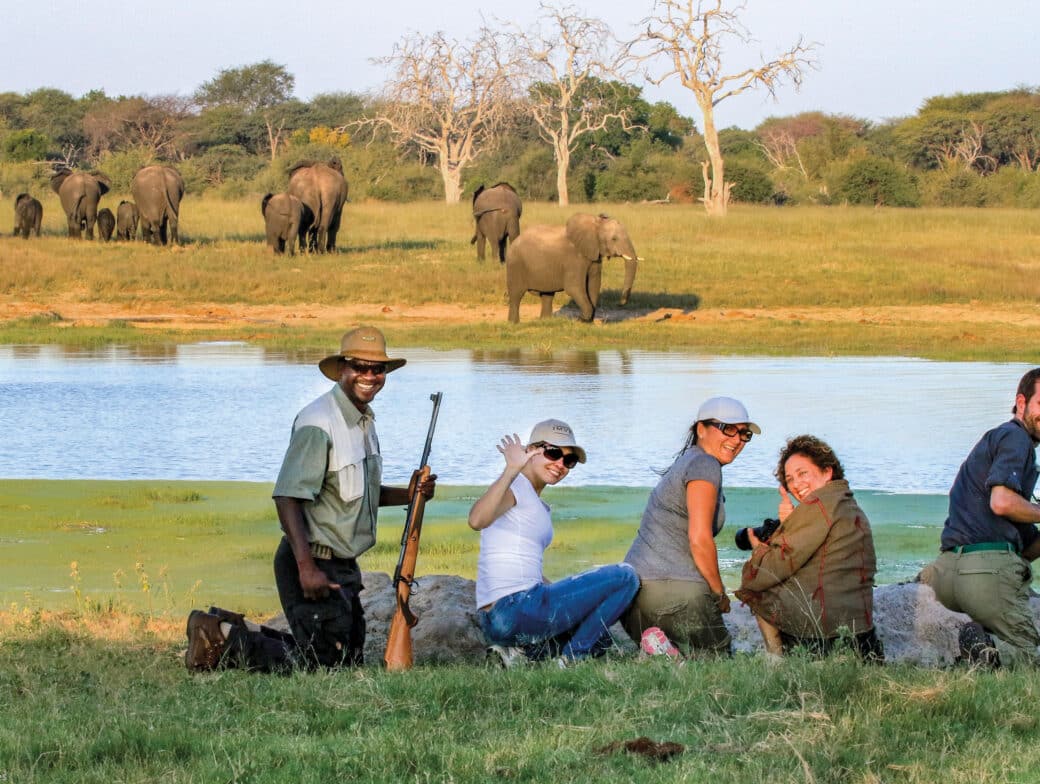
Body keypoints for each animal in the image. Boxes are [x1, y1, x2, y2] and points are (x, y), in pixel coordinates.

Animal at [505, 213, 640, 323]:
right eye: (614, 239)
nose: (620, 303)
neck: (595, 224)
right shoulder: (573, 260)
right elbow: (574, 288)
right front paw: (582, 319)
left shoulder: (594, 257)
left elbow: (594, 286)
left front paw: (587, 322)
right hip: (515, 264)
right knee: (516, 295)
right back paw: (513, 324)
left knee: (547, 295)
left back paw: (545, 322)